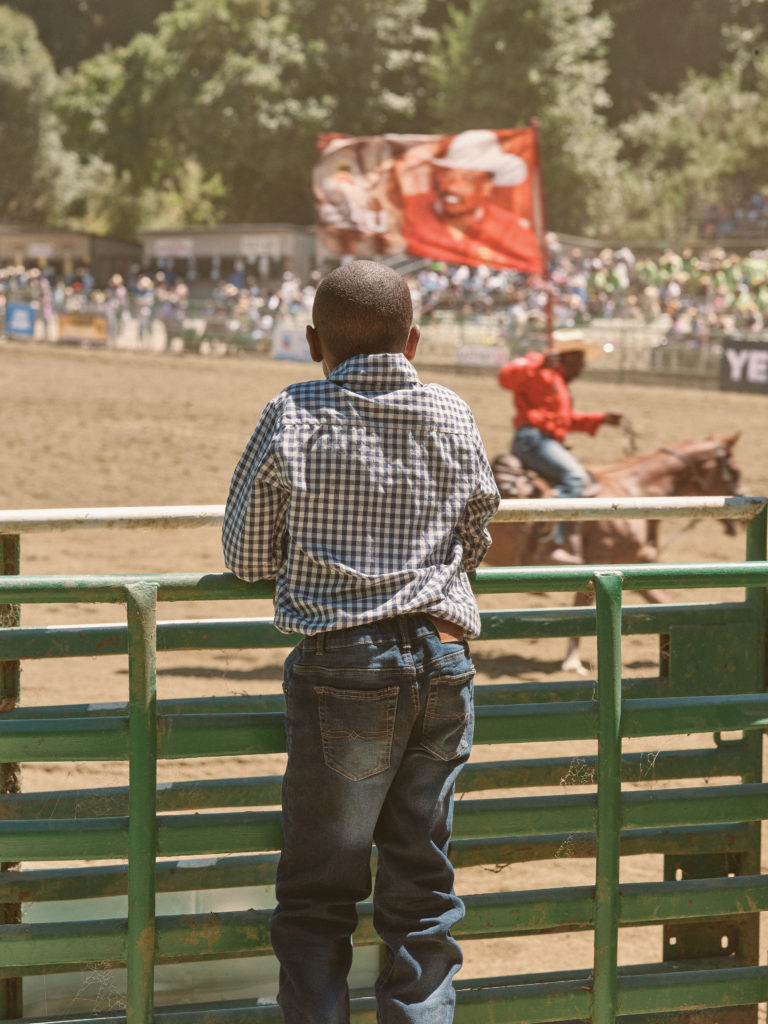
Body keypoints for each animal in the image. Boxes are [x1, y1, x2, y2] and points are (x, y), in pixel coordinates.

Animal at [487, 436, 745, 675]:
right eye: (735, 470)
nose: (744, 495)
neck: (634, 491)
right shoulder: (601, 565)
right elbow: (580, 610)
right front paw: (572, 663)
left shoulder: (635, 568)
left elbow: (669, 605)